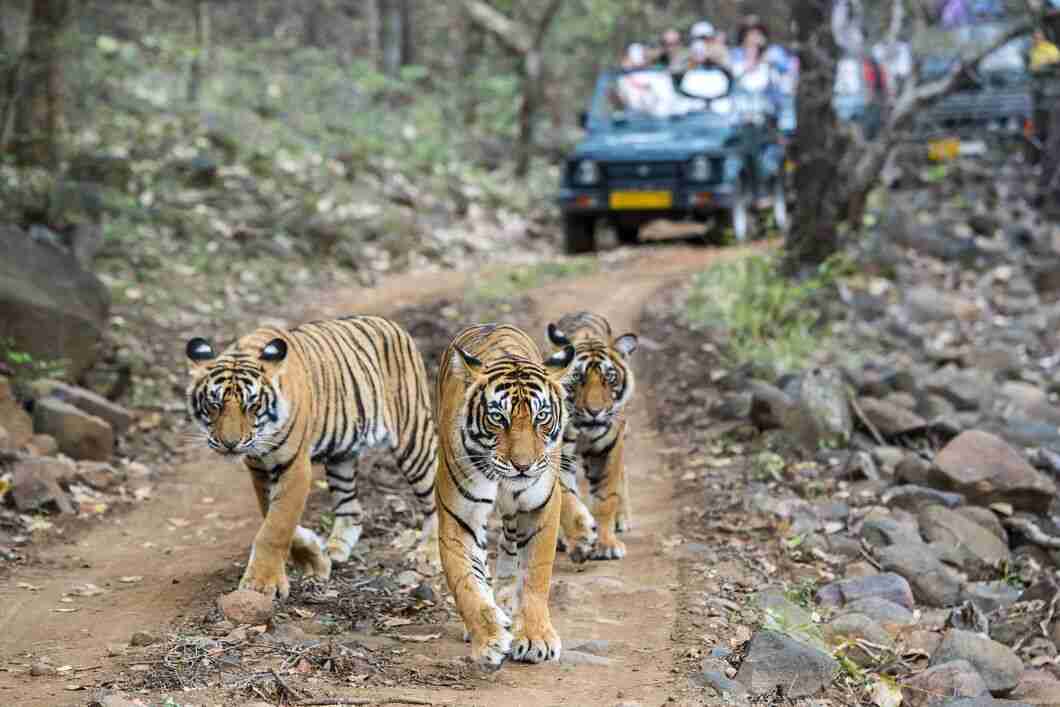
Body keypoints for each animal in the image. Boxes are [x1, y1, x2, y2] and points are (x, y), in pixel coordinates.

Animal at [186, 317, 438, 602]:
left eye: (252, 406)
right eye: (214, 405)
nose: (230, 444)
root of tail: (392, 324)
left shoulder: (293, 466)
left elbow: (277, 525)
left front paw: (261, 584)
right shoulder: (259, 469)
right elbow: (273, 516)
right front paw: (314, 558)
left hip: (413, 438)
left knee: (434, 497)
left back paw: (429, 552)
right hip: (342, 456)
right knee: (352, 509)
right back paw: (336, 549)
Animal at [434, 324, 576, 674]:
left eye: (541, 417)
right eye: (499, 418)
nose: (522, 465)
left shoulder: (540, 509)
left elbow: (536, 575)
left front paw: (536, 638)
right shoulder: (459, 517)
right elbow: (466, 582)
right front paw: (488, 639)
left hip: (516, 514)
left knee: (511, 547)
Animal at [546, 311, 635, 559]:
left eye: (609, 378)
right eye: (578, 378)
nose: (595, 411)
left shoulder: (608, 448)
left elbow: (605, 498)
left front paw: (607, 544)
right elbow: (566, 497)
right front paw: (581, 537)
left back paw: (622, 520)